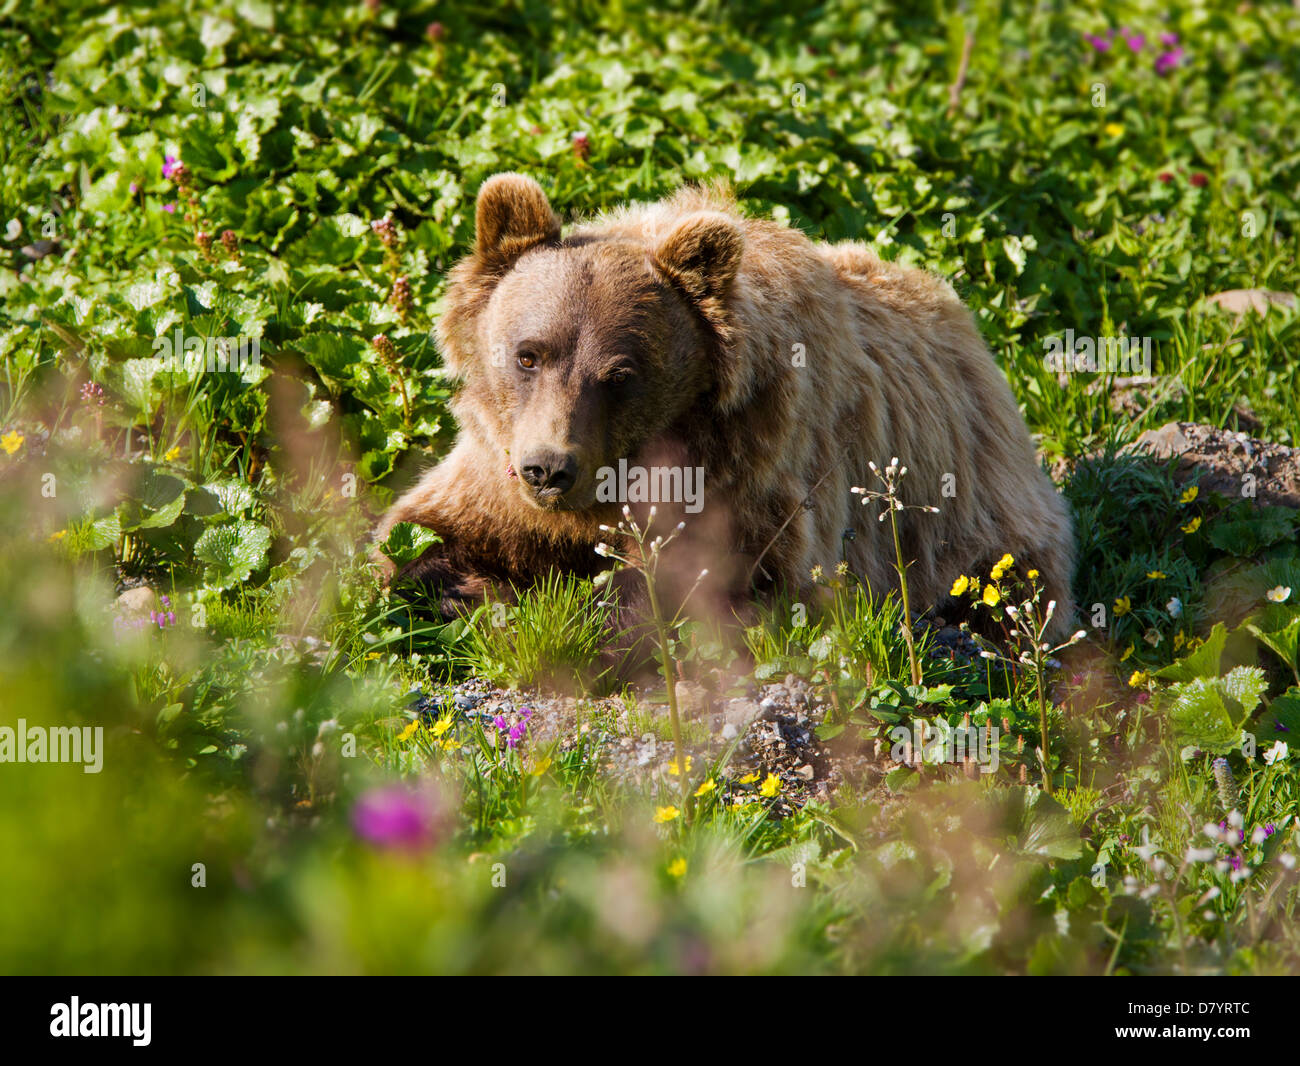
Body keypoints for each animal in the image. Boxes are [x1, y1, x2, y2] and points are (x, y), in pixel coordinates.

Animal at [374, 174, 1076, 637]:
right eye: (528, 354)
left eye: (620, 374)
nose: (549, 469)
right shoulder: (494, 477)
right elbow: (419, 533)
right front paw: (463, 585)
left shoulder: (759, 480)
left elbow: (739, 587)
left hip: (982, 519)